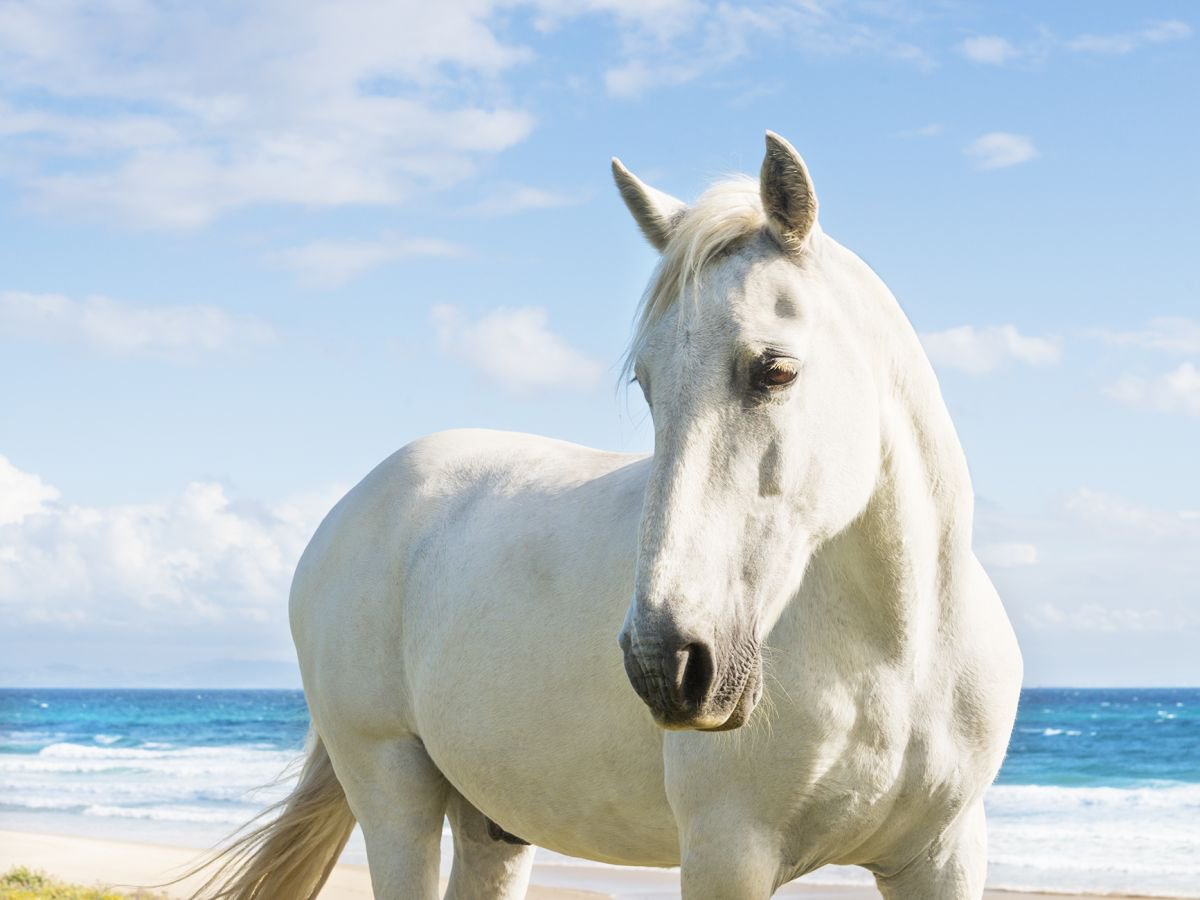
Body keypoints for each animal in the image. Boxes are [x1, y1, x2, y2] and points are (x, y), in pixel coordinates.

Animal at [198, 132, 1022, 900]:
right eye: (648, 384)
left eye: (776, 369)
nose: (667, 663)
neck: (898, 656)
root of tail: (351, 510)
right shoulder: (729, 855)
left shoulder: (943, 858)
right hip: (393, 793)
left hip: (491, 823)